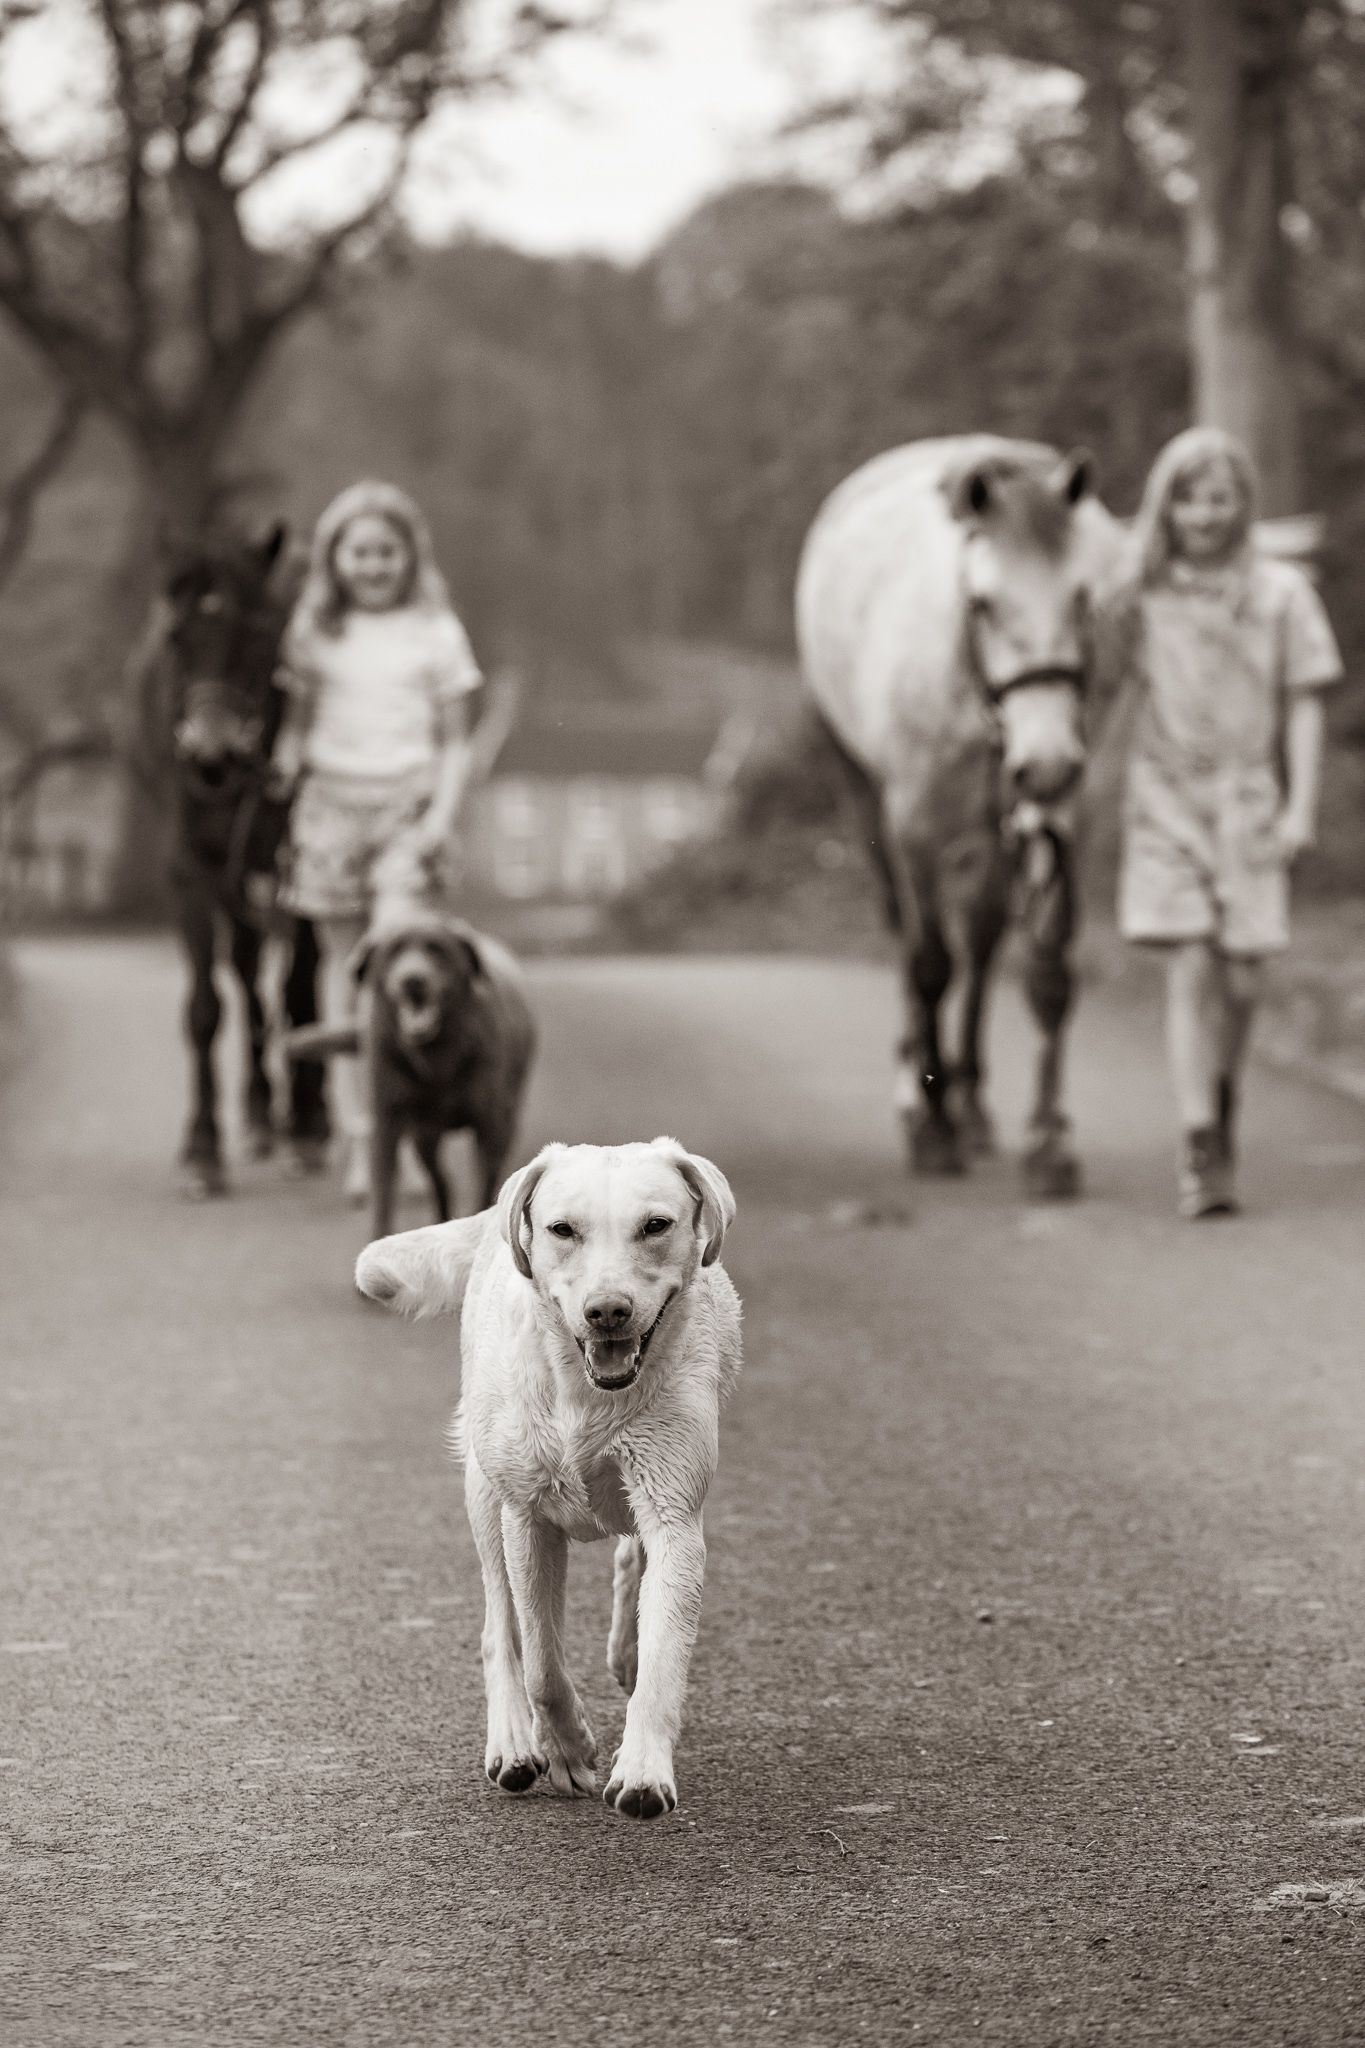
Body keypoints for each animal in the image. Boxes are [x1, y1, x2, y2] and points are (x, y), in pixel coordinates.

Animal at [134, 523, 329, 1196]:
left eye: (258, 636)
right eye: (175, 637)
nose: (210, 754)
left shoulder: (299, 868)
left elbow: (298, 987)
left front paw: (306, 1128)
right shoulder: (189, 870)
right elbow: (205, 1007)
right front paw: (202, 1148)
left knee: (300, 982)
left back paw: (306, 1116)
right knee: (245, 972)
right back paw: (261, 1111)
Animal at [796, 435, 1126, 1196]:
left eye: (1082, 597)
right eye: (983, 604)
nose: (1046, 763)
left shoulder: (1058, 821)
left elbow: (1046, 974)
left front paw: (1047, 1144)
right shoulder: (914, 825)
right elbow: (928, 966)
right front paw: (933, 1130)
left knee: (980, 939)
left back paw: (971, 1103)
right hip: (866, 797)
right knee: (915, 941)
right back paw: (922, 1095)